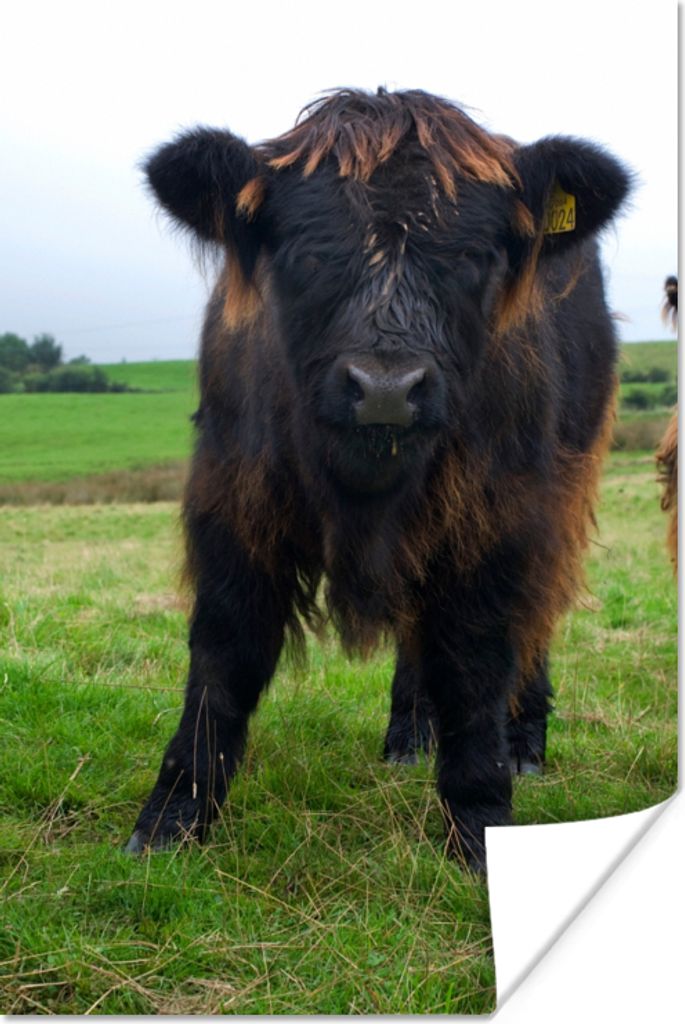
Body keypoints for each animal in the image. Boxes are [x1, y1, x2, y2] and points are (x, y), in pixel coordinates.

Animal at [126, 89, 631, 871]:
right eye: (305, 252)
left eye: (473, 256)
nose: (387, 389)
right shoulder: (232, 501)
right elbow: (223, 653)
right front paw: (172, 819)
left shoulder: (500, 517)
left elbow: (477, 660)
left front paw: (479, 826)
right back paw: (408, 735)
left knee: (534, 620)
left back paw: (523, 745)